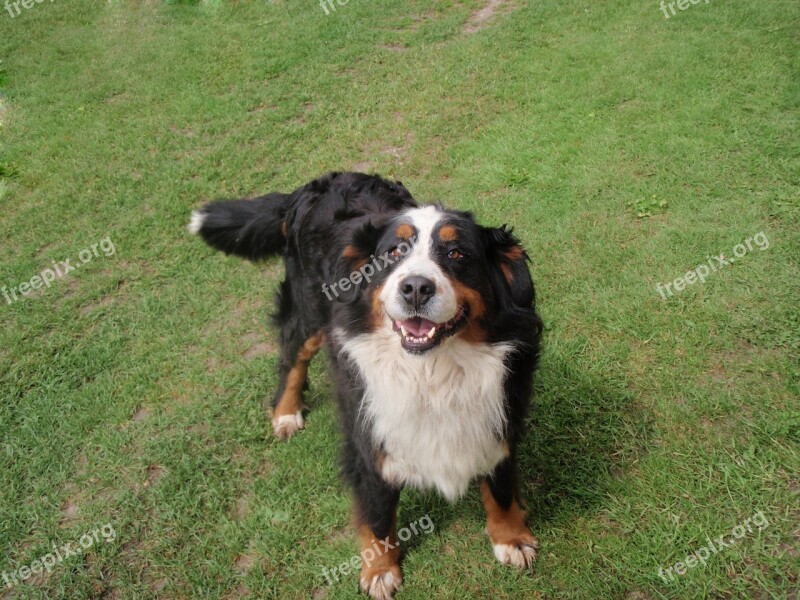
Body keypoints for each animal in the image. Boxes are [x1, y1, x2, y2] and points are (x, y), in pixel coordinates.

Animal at [191, 171, 548, 596]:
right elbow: (377, 513)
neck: (432, 371)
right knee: (292, 358)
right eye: (393, 252)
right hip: (309, 313)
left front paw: (511, 539)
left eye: (458, 253)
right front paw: (379, 570)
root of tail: (317, 183)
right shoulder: (368, 438)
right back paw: (286, 413)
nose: (415, 287)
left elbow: (501, 487)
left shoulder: (501, 414)